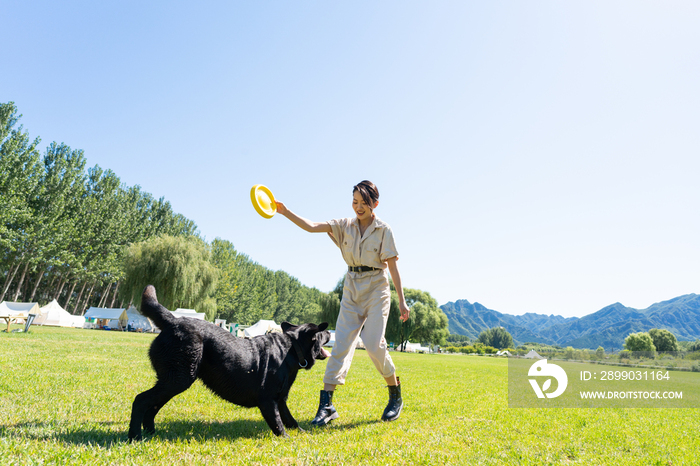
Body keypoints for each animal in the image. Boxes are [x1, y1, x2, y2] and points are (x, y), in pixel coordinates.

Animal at [128, 284, 330, 440]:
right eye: (322, 333)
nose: (329, 332)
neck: (291, 348)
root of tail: (173, 320)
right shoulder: (268, 400)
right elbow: (278, 423)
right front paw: (287, 439)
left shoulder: (280, 399)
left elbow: (290, 420)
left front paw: (302, 433)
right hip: (178, 379)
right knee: (140, 400)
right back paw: (135, 437)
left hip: (172, 381)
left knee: (152, 406)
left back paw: (151, 433)